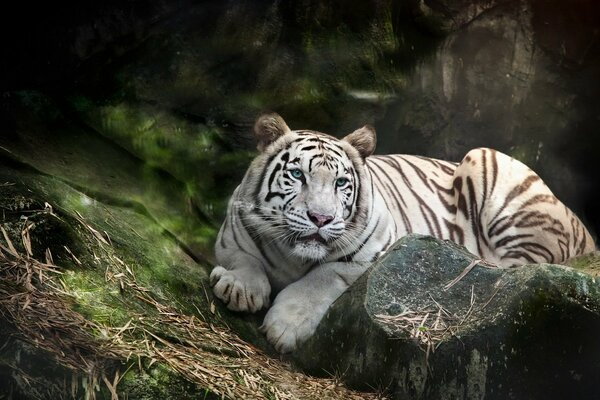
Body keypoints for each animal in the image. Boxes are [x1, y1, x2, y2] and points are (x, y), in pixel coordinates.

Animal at [211, 112, 596, 354]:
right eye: (297, 175)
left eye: (340, 183)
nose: (321, 218)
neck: (293, 255)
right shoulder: (231, 234)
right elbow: (243, 258)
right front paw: (239, 288)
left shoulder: (372, 252)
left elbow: (322, 277)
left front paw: (285, 326)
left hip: (491, 166)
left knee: (517, 269)